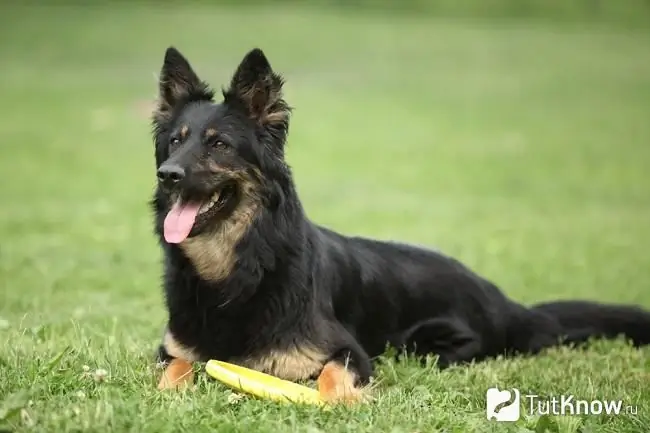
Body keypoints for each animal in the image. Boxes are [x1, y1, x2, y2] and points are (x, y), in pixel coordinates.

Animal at [149, 47, 648, 402]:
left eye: (218, 145)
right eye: (175, 141)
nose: (167, 174)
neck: (240, 268)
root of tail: (507, 303)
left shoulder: (349, 351)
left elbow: (333, 376)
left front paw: (345, 401)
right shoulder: (172, 348)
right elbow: (175, 367)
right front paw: (169, 393)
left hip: (427, 347)